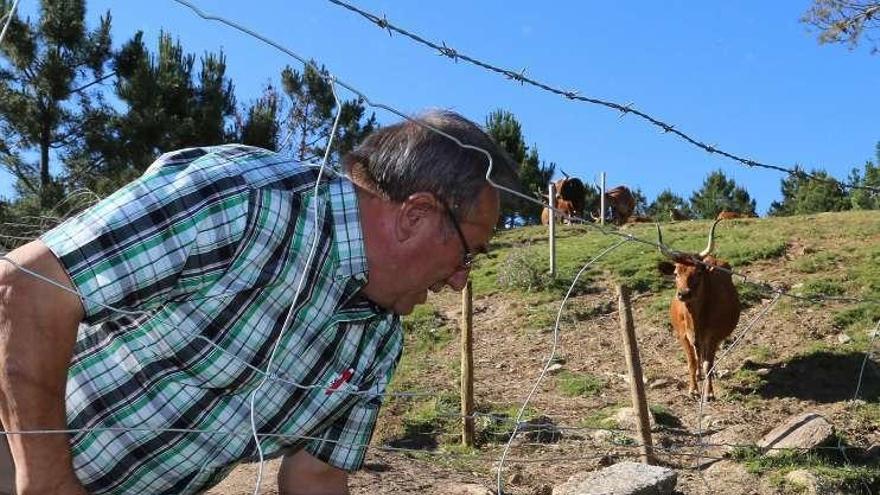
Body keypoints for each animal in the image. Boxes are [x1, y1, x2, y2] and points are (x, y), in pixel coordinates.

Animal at [656, 219, 740, 402]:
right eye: (676, 273)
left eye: (699, 272)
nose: (684, 293)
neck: (694, 319)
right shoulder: (683, 335)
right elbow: (692, 362)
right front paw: (693, 390)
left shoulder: (713, 336)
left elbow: (708, 363)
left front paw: (708, 392)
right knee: (697, 355)